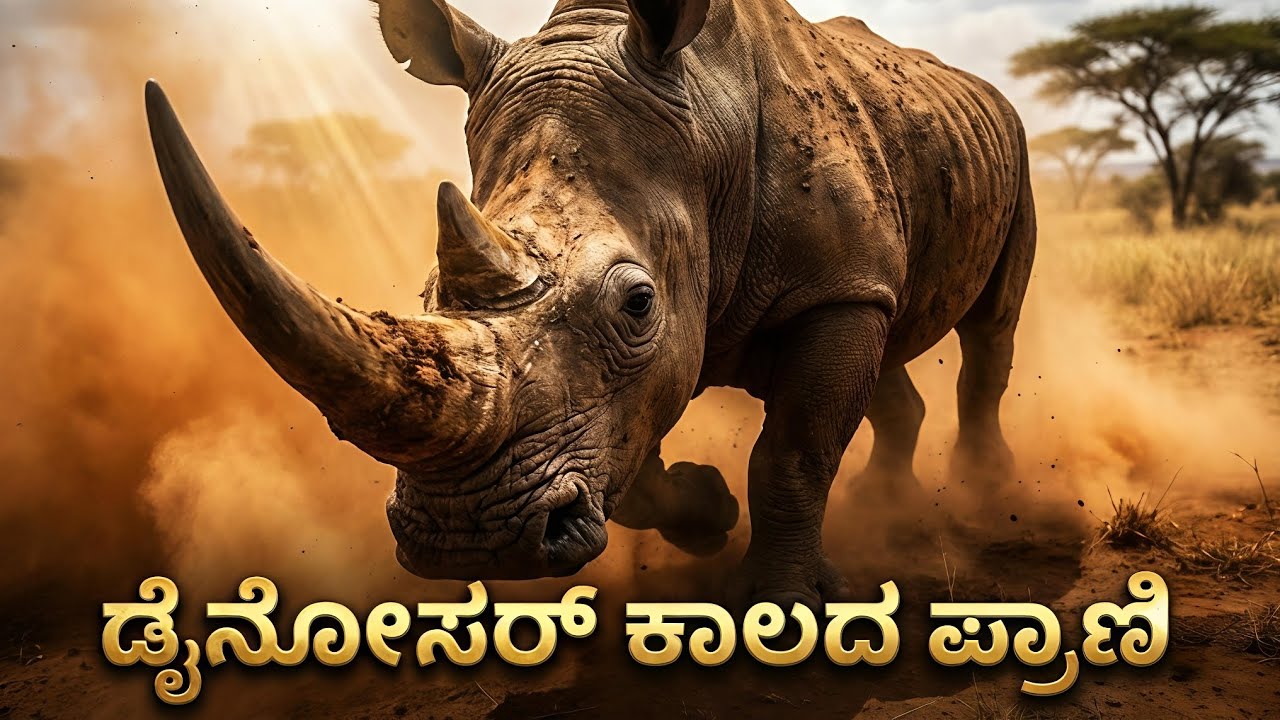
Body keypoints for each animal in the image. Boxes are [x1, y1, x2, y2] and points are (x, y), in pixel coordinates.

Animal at [145, 0, 1034, 605]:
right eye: (426, 295)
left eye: (637, 303)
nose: (471, 541)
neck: (709, 118)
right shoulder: (724, 321)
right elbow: (632, 462)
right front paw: (706, 513)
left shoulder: (835, 288)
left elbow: (793, 449)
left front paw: (780, 605)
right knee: (894, 343)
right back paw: (889, 504)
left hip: (1014, 145)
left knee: (992, 327)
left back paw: (987, 496)